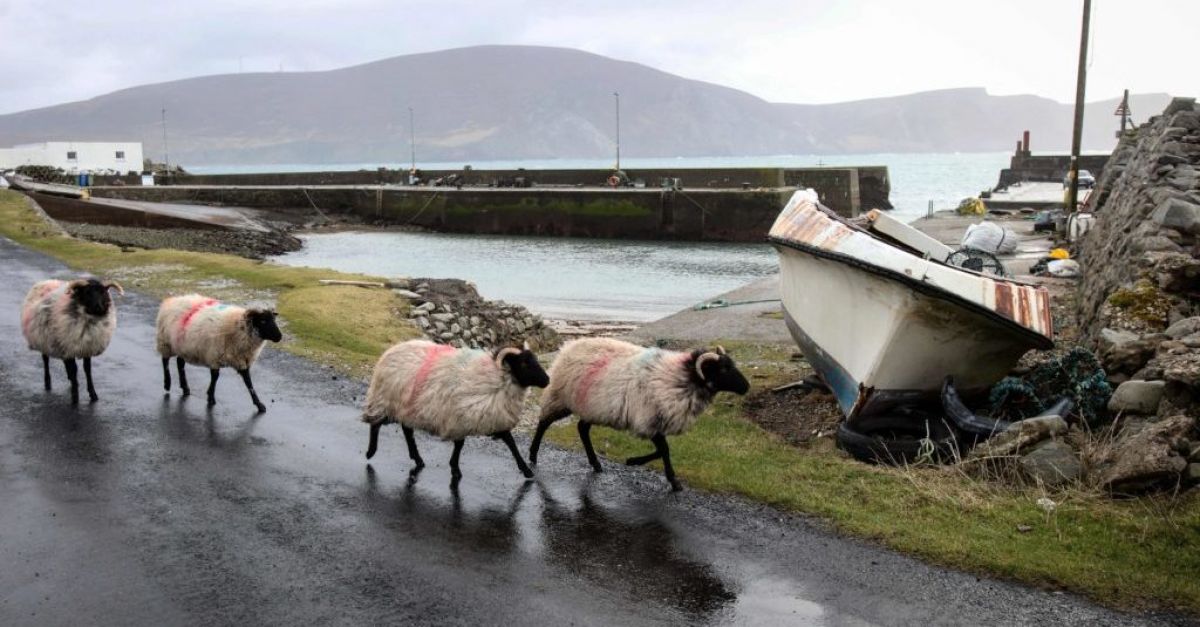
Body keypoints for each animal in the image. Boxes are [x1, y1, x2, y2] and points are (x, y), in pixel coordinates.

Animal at [154, 291, 283, 410]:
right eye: (263, 321)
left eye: (273, 319)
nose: (279, 337)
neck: (238, 328)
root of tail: (173, 300)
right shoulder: (214, 356)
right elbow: (215, 378)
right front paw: (211, 397)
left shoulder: (241, 361)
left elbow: (249, 383)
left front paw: (259, 404)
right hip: (165, 342)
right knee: (165, 361)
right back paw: (167, 383)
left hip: (182, 345)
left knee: (180, 363)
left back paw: (185, 388)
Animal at [362, 338, 549, 480]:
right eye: (524, 363)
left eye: (535, 360)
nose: (547, 380)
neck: (497, 378)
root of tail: (391, 350)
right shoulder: (460, 417)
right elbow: (460, 444)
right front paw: (455, 469)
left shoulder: (492, 418)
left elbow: (511, 443)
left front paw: (526, 470)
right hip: (387, 400)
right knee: (376, 424)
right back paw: (370, 452)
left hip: (406, 406)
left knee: (406, 430)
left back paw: (417, 459)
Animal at [528, 336, 744, 487]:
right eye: (723, 369)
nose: (746, 387)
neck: (679, 377)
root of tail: (568, 347)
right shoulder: (648, 418)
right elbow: (664, 449)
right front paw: (669, 479)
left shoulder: (655, 421)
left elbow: (662, 450)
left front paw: (636, 462)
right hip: (560, 397)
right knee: (544, 423)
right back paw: (532, 456)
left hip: (592, 406)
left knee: (582, 428)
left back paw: (595, 464)